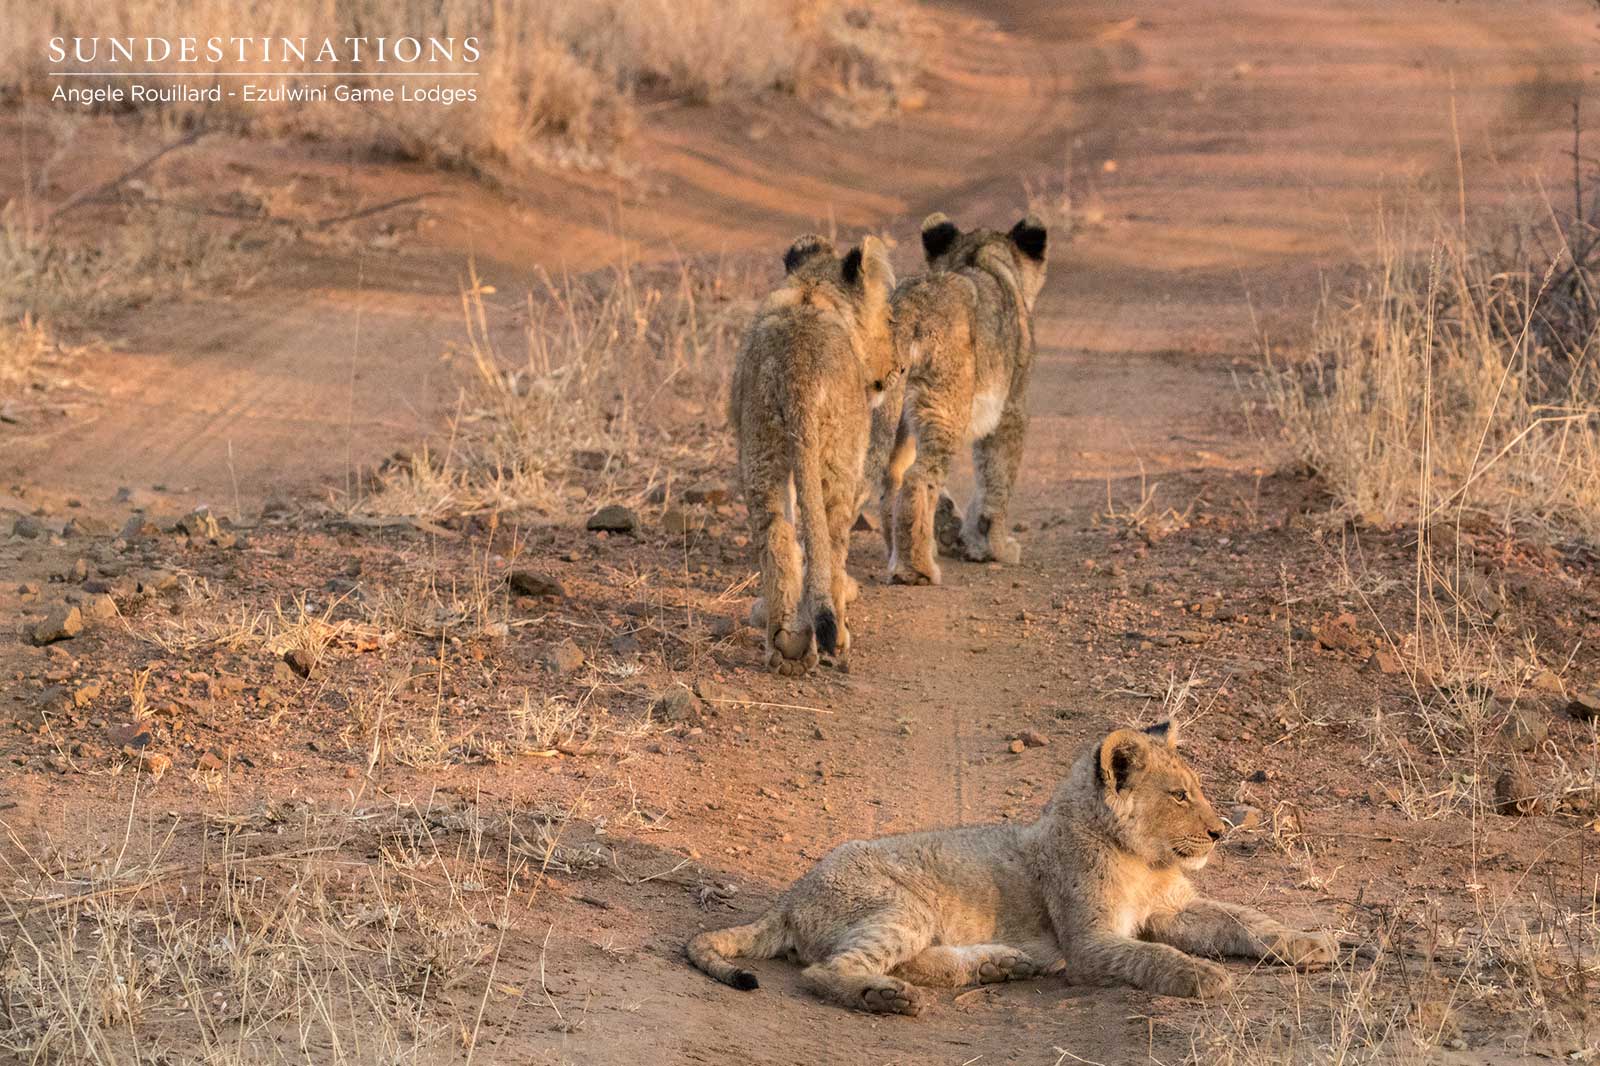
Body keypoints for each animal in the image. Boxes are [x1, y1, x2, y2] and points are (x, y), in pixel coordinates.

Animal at [686, 719, 1336, 1014]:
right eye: (1179, 795)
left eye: (1196, 790)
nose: (1220, 831)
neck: (1142, 859)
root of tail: (790, 898)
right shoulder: (1091, 943)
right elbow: (1150, 956)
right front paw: (1204, 975)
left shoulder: (1176, 908)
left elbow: (1246, 919)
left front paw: (1314, 943)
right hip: (900, 904)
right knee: (825, 970)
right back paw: (888, 995)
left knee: (913, 961)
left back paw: (999, 964)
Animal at [729, 234, 899, 676]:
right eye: (891, 321)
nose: (898, 369)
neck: (813, 288)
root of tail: (798, 370)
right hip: (840, 453)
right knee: (834, 537)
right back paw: (833, 634)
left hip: (762, 447)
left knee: (777, 533)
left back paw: (786, 644)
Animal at [869, 212, 1049, 586]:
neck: (978, 257)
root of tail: (908, 306)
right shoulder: (1011, 408)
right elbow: (997, 477)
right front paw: (995, 547)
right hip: (945, 406)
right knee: (918, 478)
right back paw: (916, 570)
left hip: (891, 414)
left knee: (890, 478)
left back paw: (900, 554)